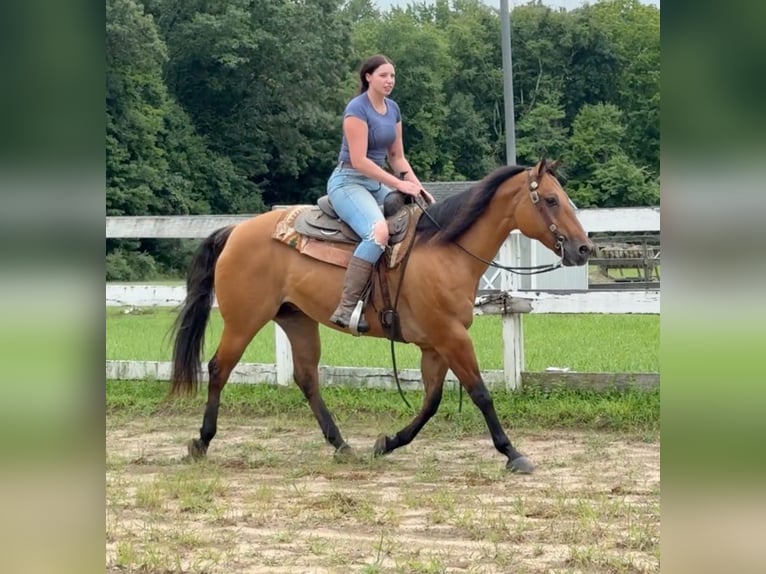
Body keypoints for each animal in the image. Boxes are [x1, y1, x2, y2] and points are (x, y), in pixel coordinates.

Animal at [172, 160, 592, 474]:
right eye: (551, 199)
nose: (584, 248)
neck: (445, 251)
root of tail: (236, 230)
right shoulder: (452, 337)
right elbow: (480, 393)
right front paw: (512, 452)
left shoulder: (435, 345)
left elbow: (431, 401)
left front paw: (387, 443)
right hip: (243, 321)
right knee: (219, 368)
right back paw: (201, 441)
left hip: (297, 320)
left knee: (306, 378)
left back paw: (342, 445)